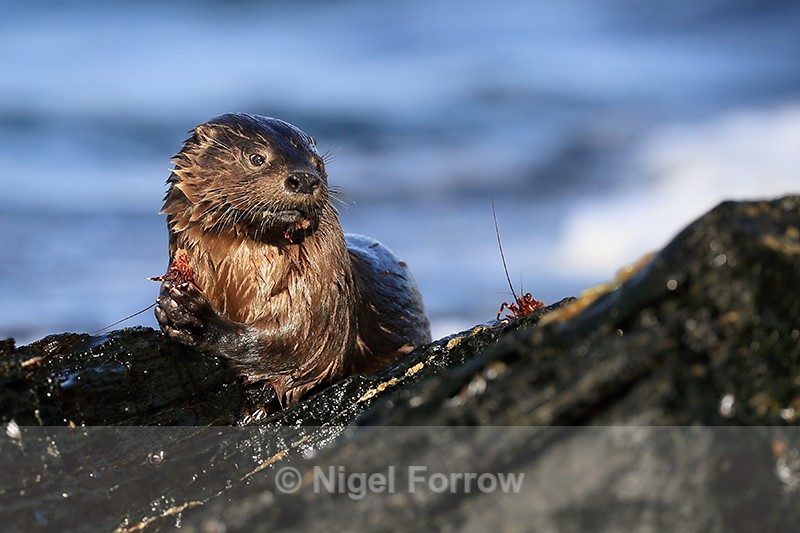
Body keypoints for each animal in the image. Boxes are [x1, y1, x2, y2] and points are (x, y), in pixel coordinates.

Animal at [154, 113, 431, 405]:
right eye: (256, 158)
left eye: (318, 164)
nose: (304, 178)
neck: (238, 274)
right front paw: (171, 301)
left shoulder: (324, 294)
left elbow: (299, 345)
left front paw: (196, 320)